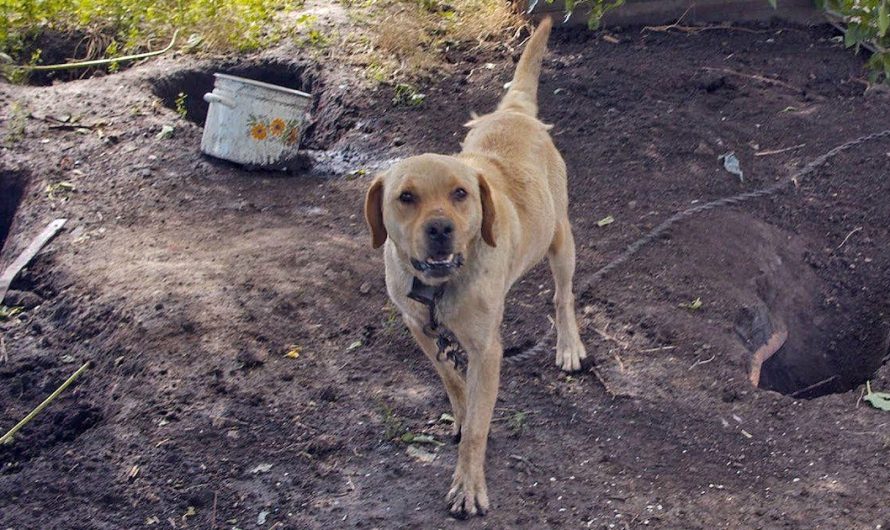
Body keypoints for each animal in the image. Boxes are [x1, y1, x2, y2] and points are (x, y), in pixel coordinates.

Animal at [360, 17, 584, 516]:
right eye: (406, 197)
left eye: (460, 193)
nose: (441, 228)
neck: (439, 284)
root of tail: (515, 112)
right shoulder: (420, 329)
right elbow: (453, 380)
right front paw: (462, 411)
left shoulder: (487, 350)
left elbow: (479, 428)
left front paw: (468, 484)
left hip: (561, 240)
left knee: (563, 296)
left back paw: (569, 344)